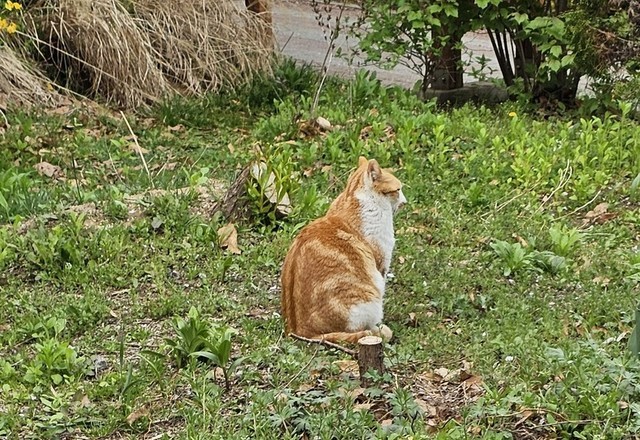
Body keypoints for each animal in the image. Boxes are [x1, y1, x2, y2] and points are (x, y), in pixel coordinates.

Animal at [280, 156, 406, 344]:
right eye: (397, 190)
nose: (405, 202)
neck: (352, 197)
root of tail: (301, 332)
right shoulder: (381, 264)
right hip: (366, 300)